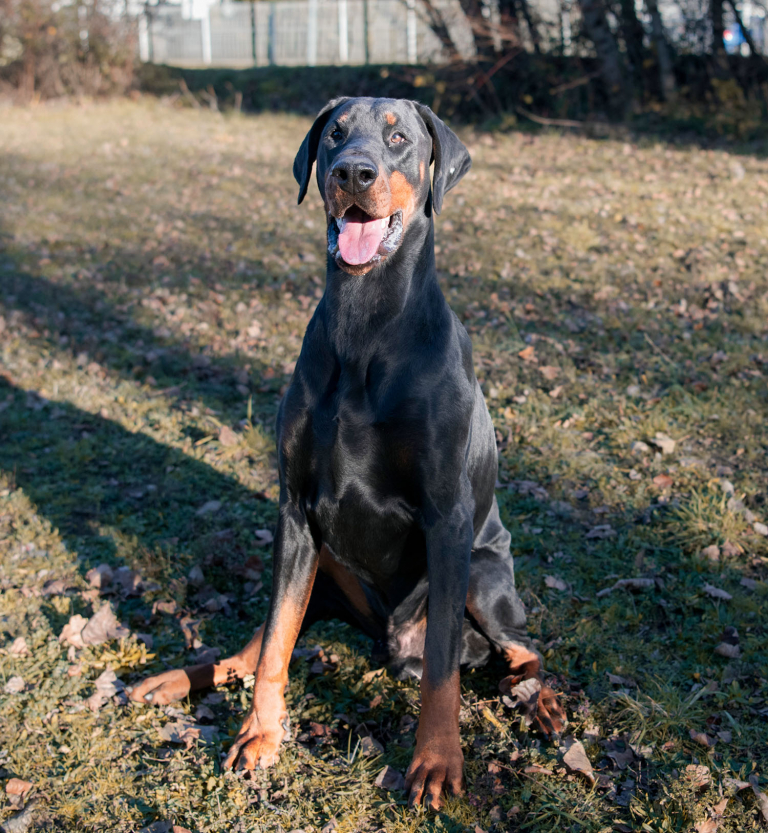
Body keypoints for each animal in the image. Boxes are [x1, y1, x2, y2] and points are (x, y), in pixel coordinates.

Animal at [130, 96, 565, 810]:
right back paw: (175, 680)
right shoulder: (295, 511)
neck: (366, 323)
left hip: (483, 575)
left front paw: (436, 763)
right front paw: (260, 737)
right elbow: (274, 646)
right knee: (256, 644)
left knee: (520, 651)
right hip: (325, 570)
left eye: (399, 138)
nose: (352, 173)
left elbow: (442, 671)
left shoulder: (447, 520)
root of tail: (390, 650)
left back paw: (539, 699)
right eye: (334, 133)